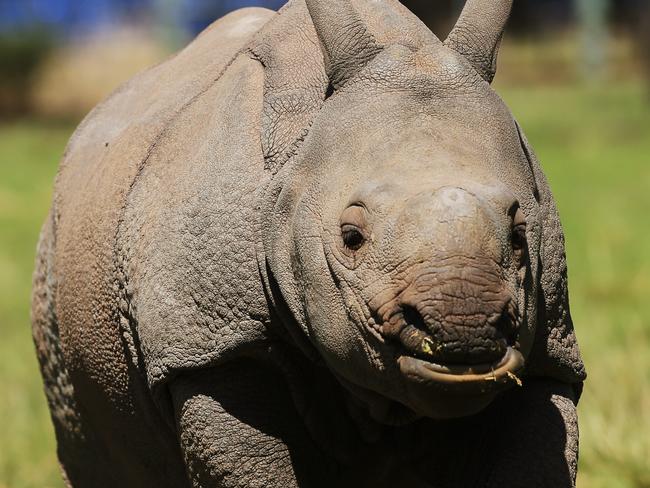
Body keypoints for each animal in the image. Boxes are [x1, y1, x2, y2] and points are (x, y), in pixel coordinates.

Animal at [31, 0, 584, 486]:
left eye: (520, 235)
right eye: (351, 238)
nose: (465, 326)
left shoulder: (548, 351)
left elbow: (537, 456)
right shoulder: (211, 344)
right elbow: (251, 465)